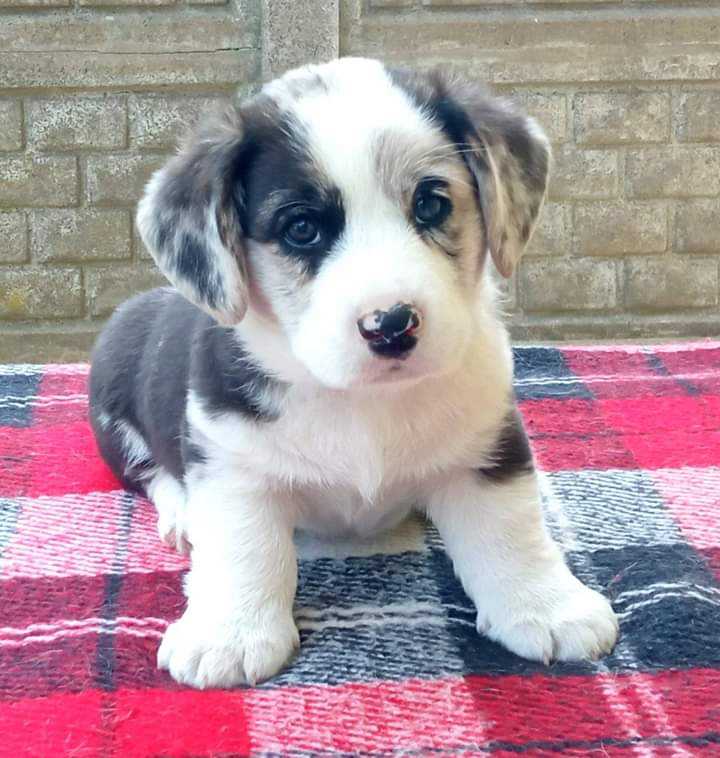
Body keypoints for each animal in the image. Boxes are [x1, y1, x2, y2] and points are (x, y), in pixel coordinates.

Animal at [89, 57, 618, 689]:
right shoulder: (232, 464)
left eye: (431, 204)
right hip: (111, 415)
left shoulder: (490, 444)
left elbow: (511, 530)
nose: (391, 324)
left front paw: (548, 607)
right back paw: (182, 518)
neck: (361, 400)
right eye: (301, 229)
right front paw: (230, 634)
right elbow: (243, 548)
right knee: (155, 476)